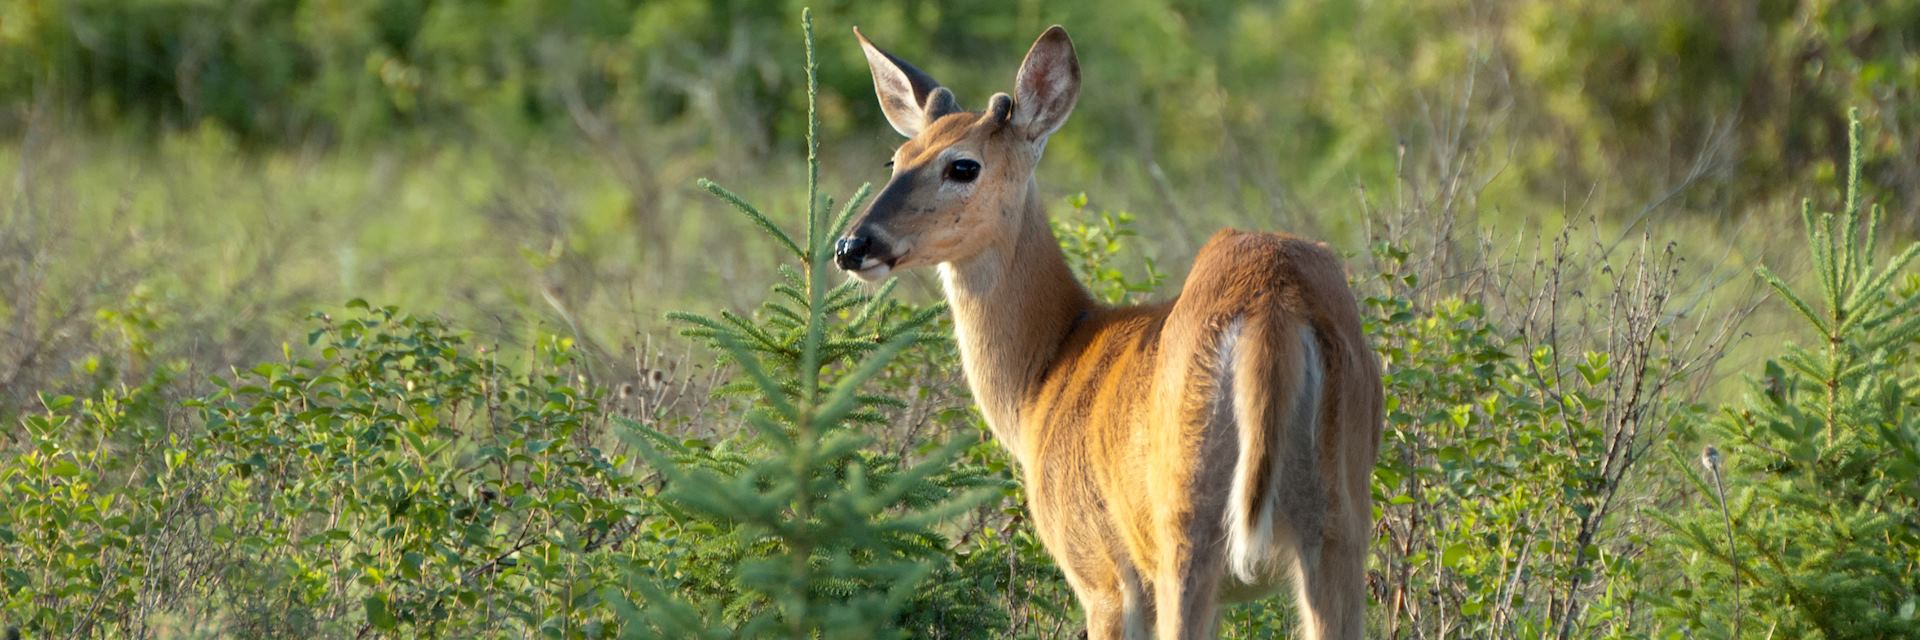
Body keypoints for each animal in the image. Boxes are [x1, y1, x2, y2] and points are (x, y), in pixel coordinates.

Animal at [840, 26, 1382, 638]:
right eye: (897, 158)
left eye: (963, 166)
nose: (853, 244)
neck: (1044, 376)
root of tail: (1274, 303)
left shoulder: (1097, 570)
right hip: (1341, 523)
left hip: (1184, 525)